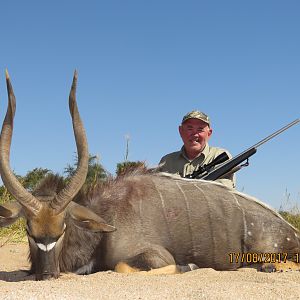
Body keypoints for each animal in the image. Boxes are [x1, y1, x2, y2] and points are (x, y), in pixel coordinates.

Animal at [0, 71, 300, 282]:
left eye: (62, 228)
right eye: (28, 230)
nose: (46, 275)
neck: (108, 217)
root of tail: (290, 230)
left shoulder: (154, 255)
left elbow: (124, 267)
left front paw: (189, 265)